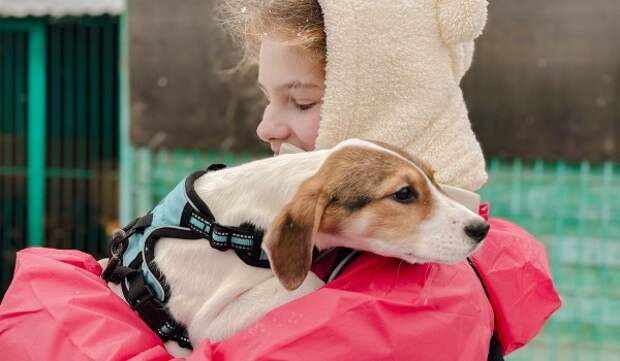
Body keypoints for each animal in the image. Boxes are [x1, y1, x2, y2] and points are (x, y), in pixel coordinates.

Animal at [101, 138, 490, 354]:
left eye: (434, 179)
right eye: (404, 194)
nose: (481, 228)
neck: (230, 229)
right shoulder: (208, 323)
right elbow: (310, 281)